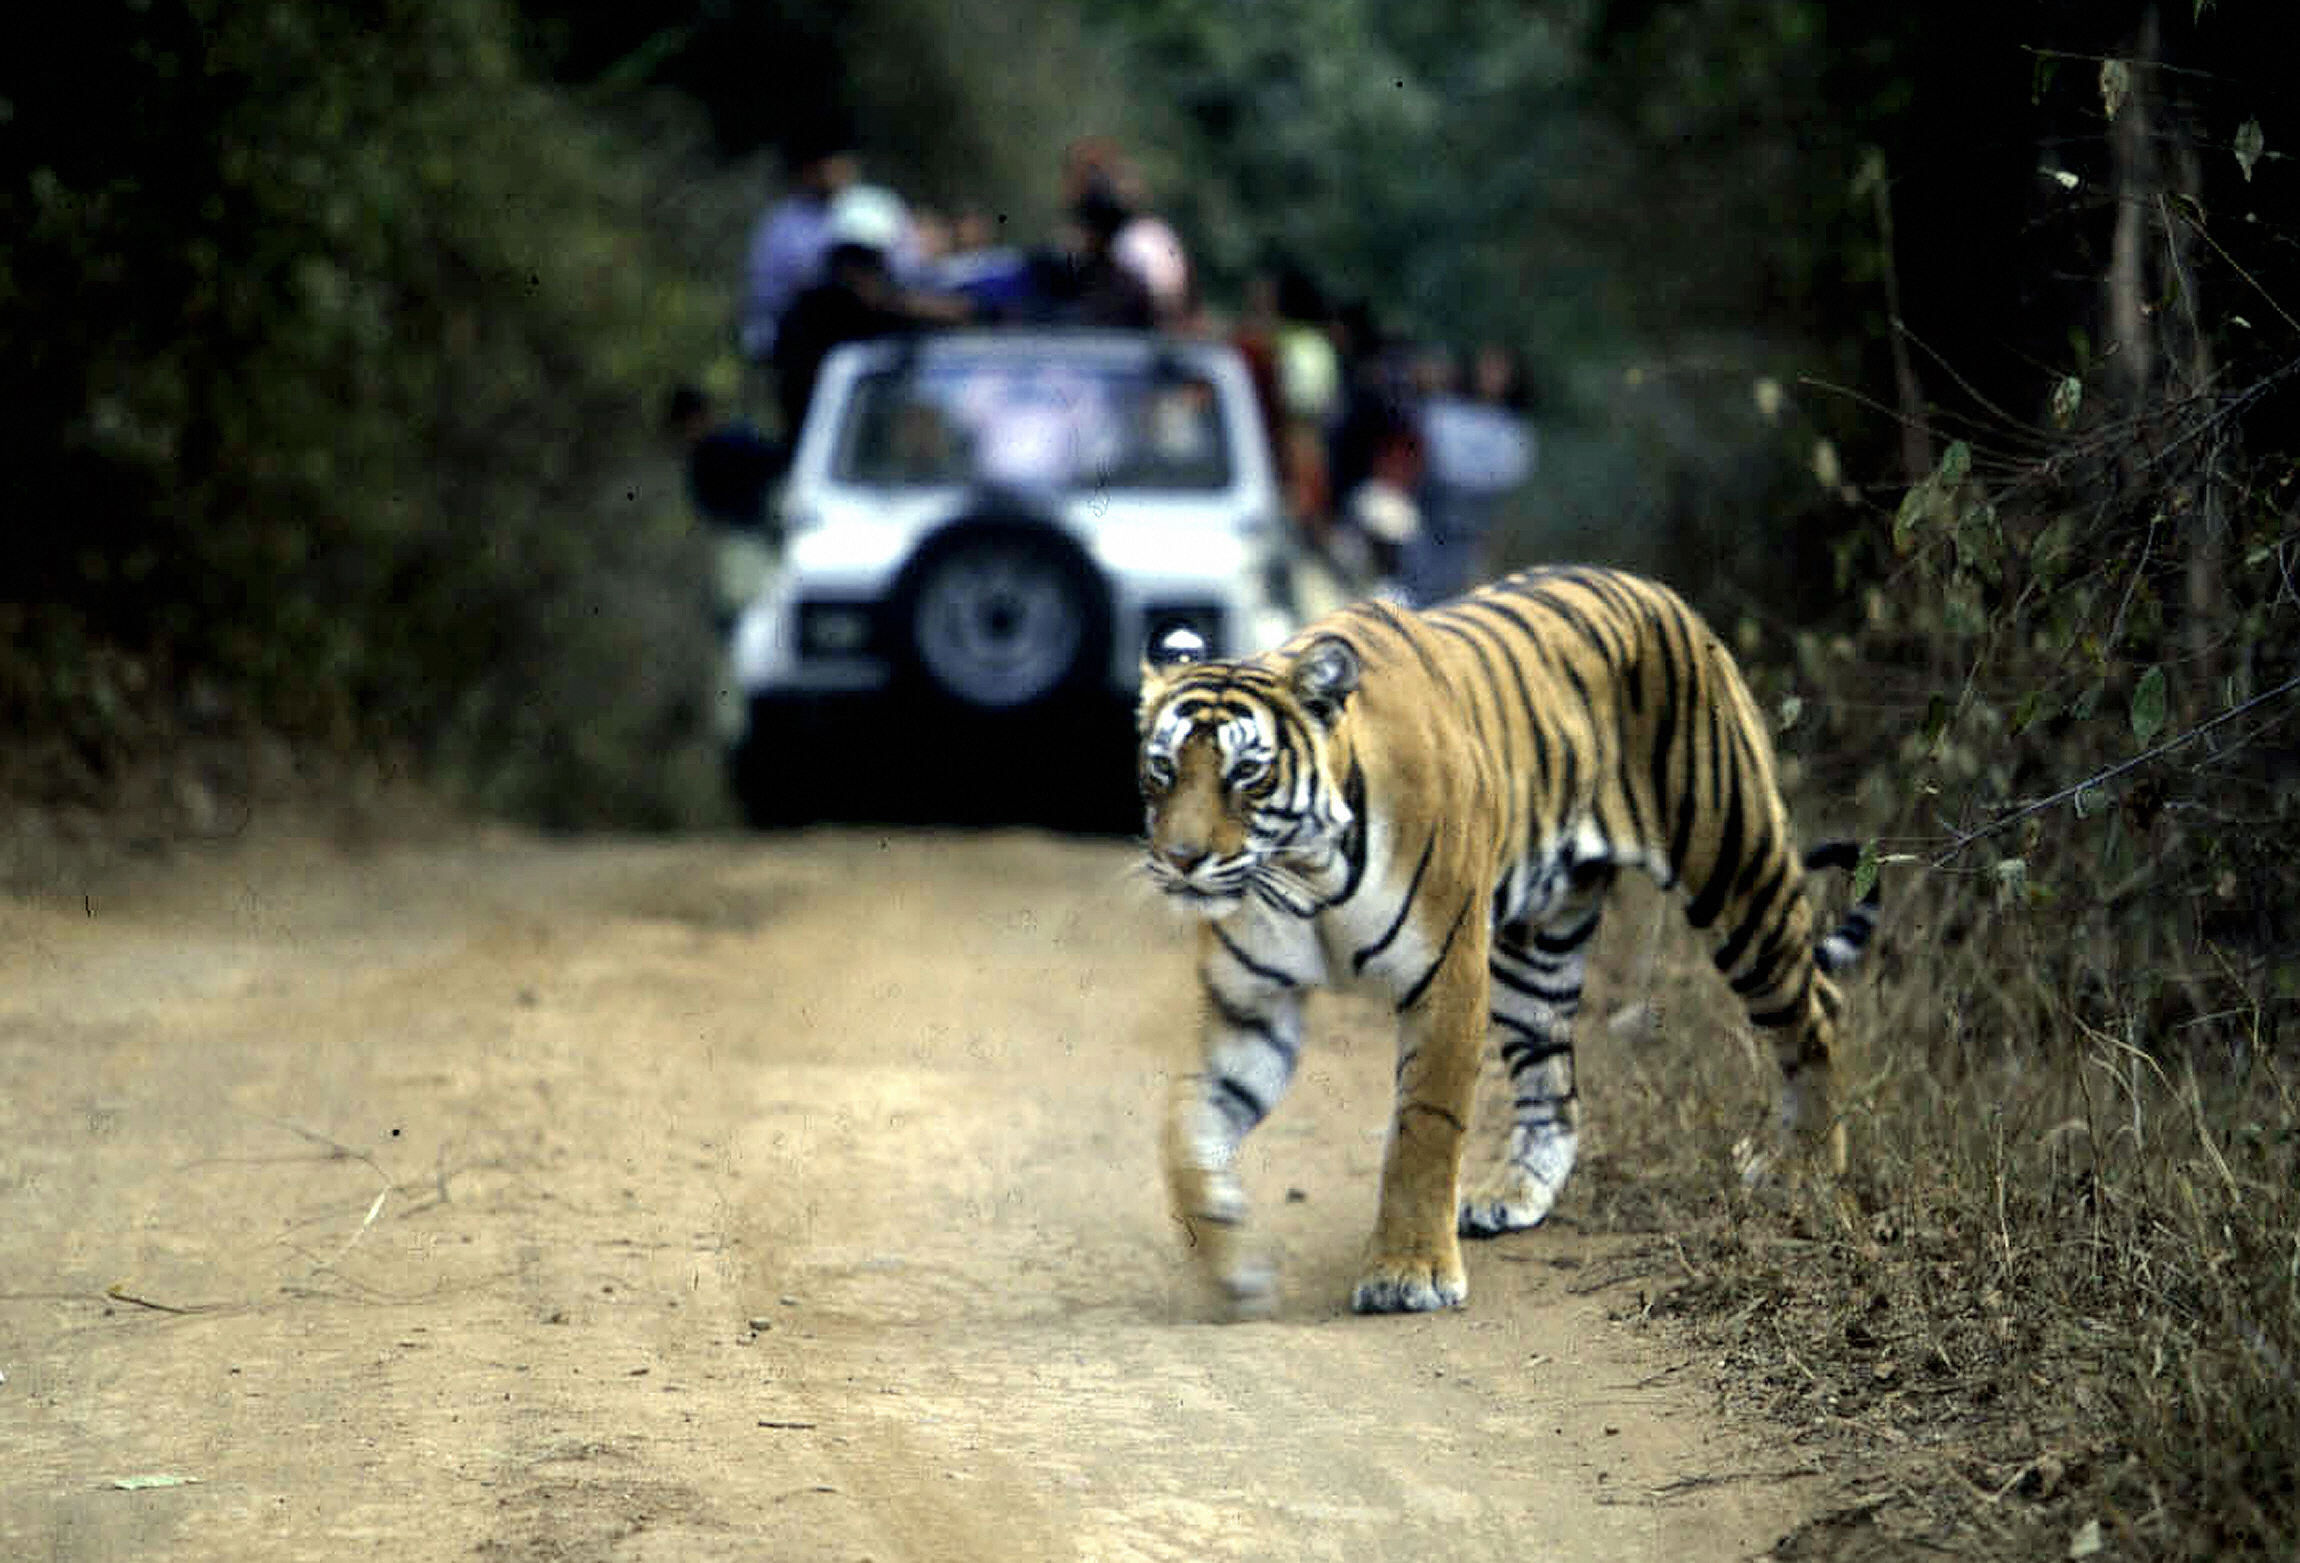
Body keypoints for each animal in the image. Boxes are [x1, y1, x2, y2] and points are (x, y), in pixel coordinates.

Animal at [1136, 565, 1879, 1315]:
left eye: (1247, 773)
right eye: (1163, 768)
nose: (1180, 859)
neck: (1304, 873)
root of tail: (1655, 589)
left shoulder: (1446, 975)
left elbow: (1424, 1126)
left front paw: (1409, 1272)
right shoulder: (1251, 1008)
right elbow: (1186, 1130)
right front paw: (1234, 1267)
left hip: (1736, 871)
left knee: (1817, 1007)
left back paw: (1808, 1167)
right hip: (1536, 948)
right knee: (1553, 1080)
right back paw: (1514, 1194)